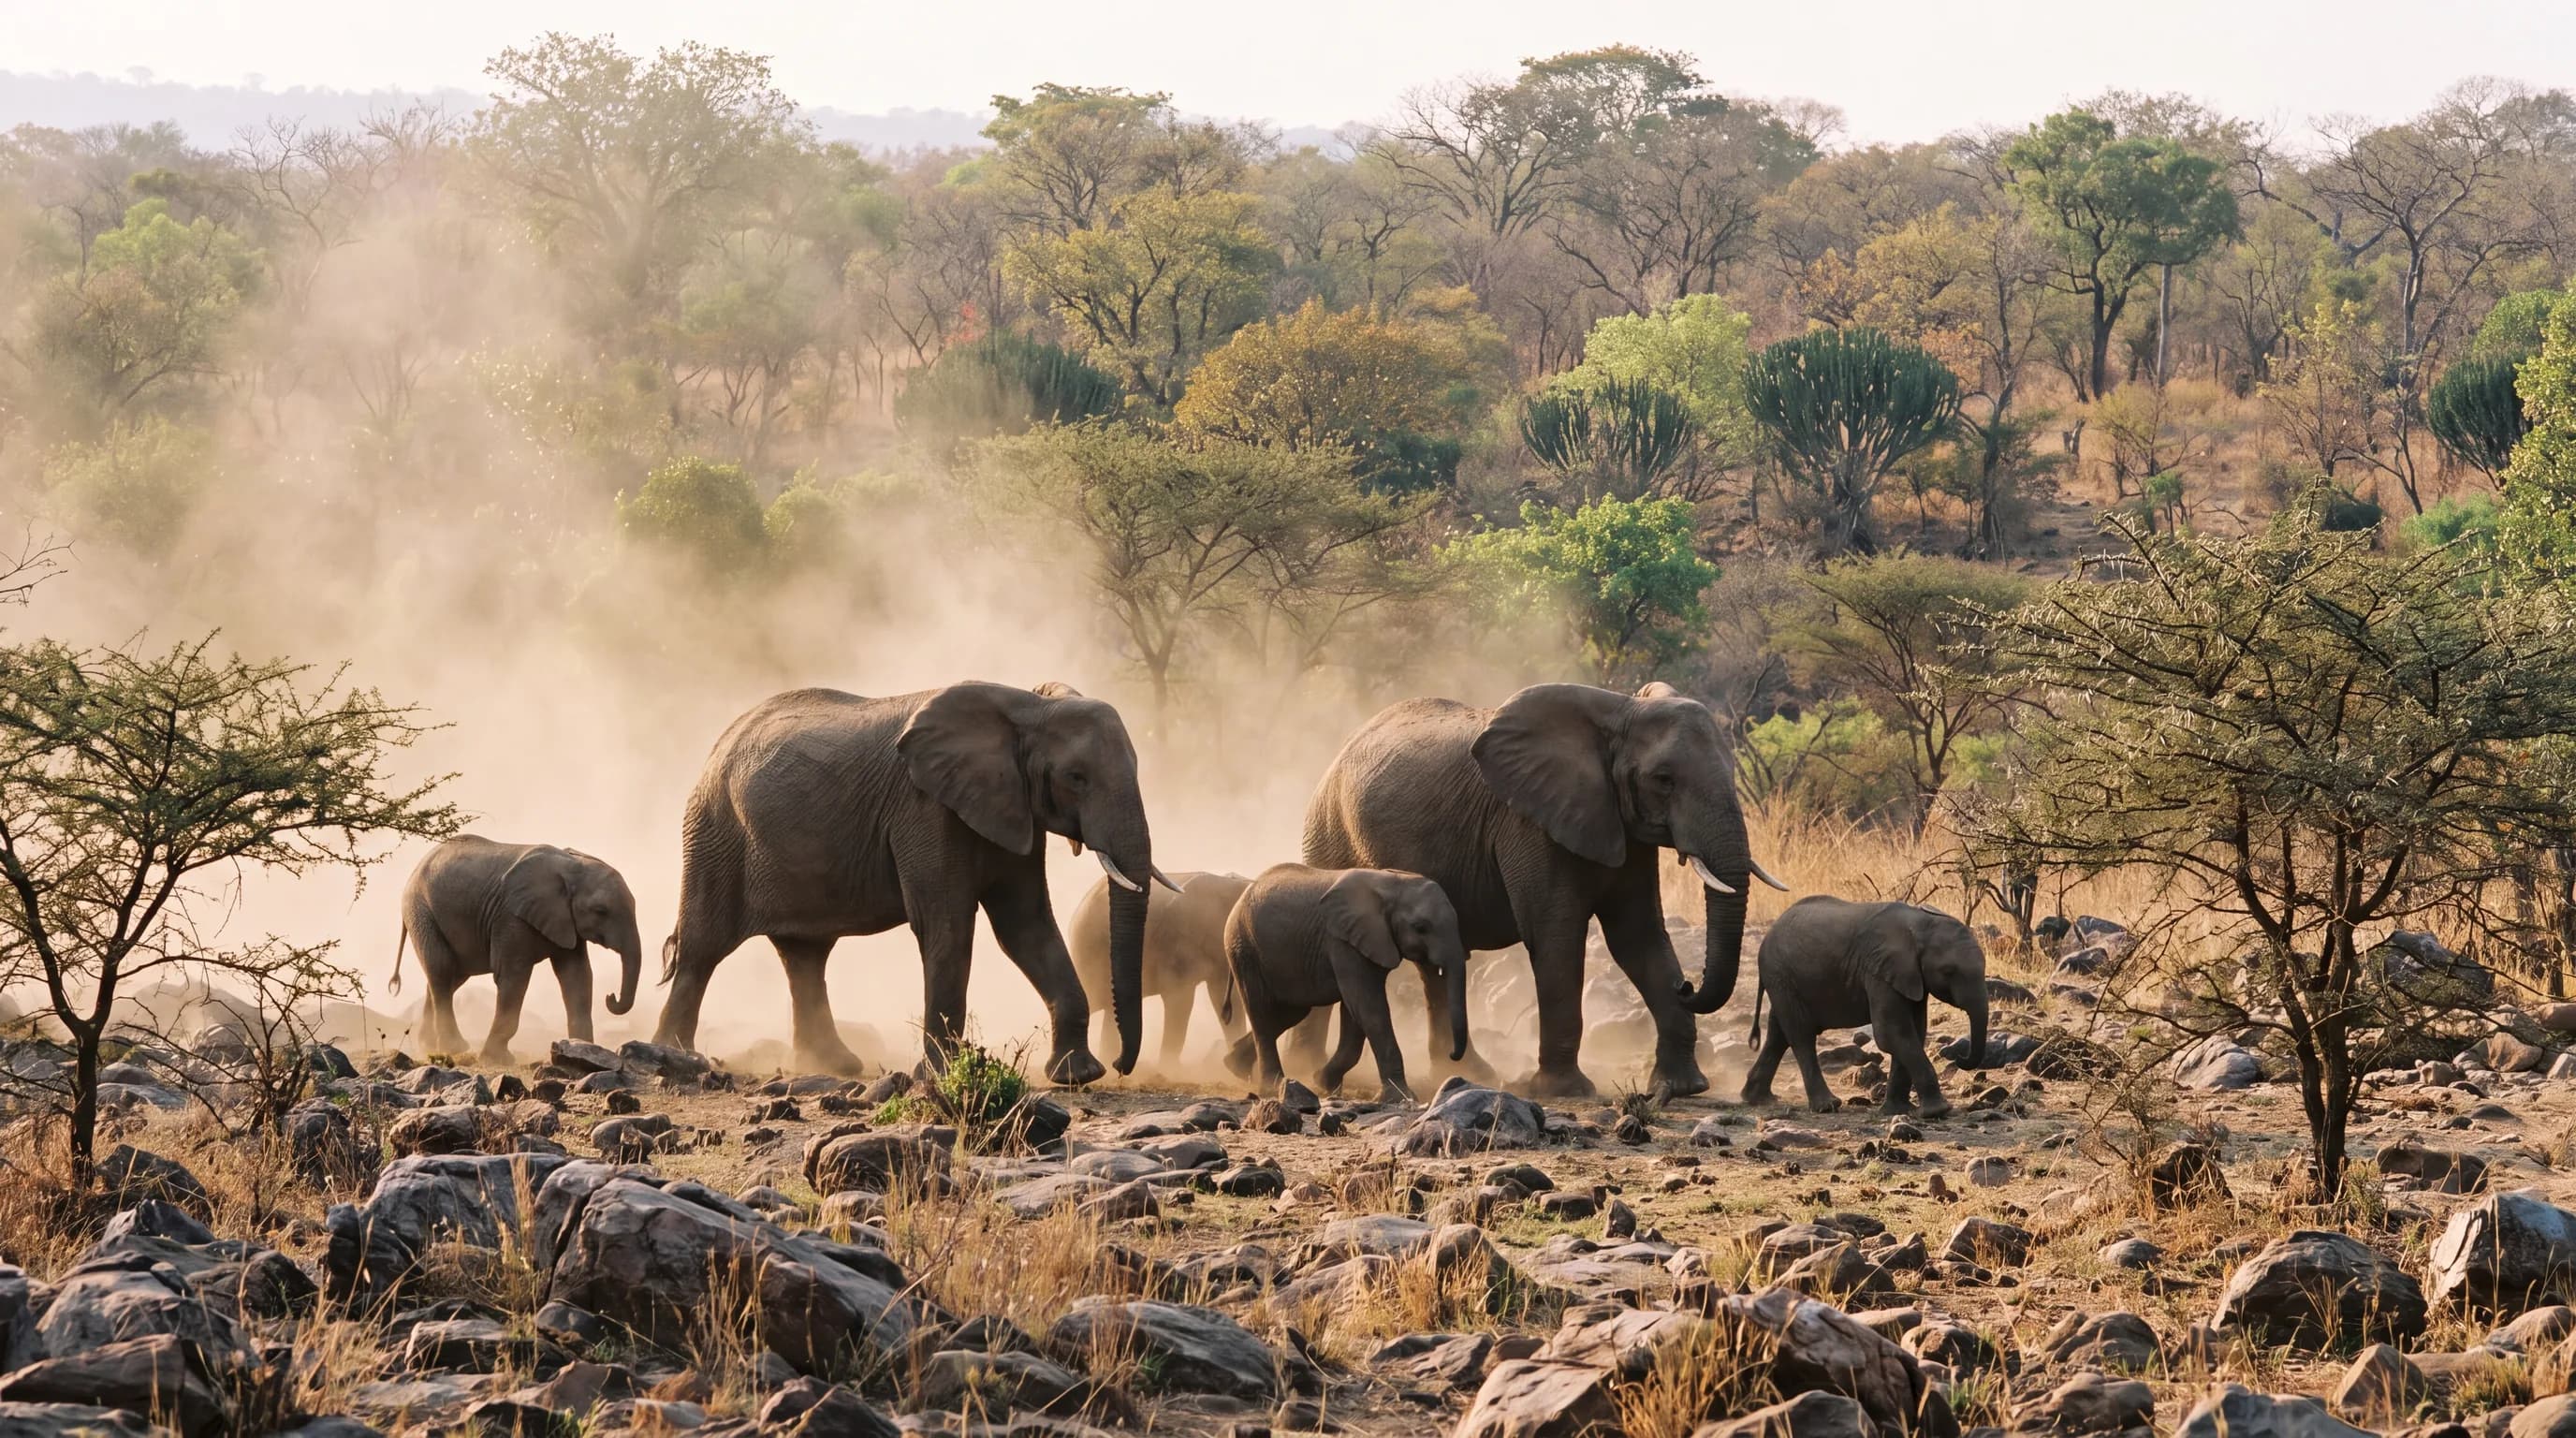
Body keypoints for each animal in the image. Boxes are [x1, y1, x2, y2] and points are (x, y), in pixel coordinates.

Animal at [391, 836, 644, 1064]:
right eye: (601, 911)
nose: (611, 997)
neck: (573, 866)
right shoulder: (511, 917)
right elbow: (514, 976)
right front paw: (496, 1060)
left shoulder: (566, 921)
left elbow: (577, 976)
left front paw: (582, 1053)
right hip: (420, 910)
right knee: (442, 969)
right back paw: (454, 1047)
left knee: (451, 977)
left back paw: (430, 1047)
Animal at [651, 681, 1167, 1083]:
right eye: (1076, 777)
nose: (1121, 1065)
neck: (1026, 705)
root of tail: (721, 742)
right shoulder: (925, 808)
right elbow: (948, 925)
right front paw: (940, 1076)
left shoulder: (1012, 809)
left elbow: (1026, 925)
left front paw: (1077, 1075)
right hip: (714, 831)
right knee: (703, 947)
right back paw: (675, 1056)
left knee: (805, 956)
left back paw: (835, 1065)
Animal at [1218, 864, 1468, 1103]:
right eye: (1421, 928)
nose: (1452, 1055)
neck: (1393, 884)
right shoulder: (1342, 941)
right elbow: (1368, 1007)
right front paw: (1401, 1097)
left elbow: (1355, 1012)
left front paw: (1322, 1082)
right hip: (1243, 948)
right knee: (1261, 1012)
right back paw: (1272, 1086)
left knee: (1291, 1013)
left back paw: (1234, 1065)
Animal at [1304, 681, 1785, 1099]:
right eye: (1664, 779)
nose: (1688, 985)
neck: (1619, 713)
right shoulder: (1529, 824)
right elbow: (1557, 936)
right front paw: (1564, 1091)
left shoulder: (1624, 829)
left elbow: (1638, 936)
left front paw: (1684, 1088)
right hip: (1328, 834)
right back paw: (1305, 1071)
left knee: (1435, 965)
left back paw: (1465, 1073)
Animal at [1740, 895, 1991, 1118]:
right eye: (1948, 971)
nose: (1959, 1058)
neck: (1919, 924)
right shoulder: (1878, 971)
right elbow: (1891, 1033)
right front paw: (1938, 1112)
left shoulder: (1909, 978)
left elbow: (1913, 1033)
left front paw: (1898, 1111)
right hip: (1780, 975)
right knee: (1801, 1035)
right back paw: (1827, 1106)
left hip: (1783, 980)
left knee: (1778, 1034)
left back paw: (1757, 1099)